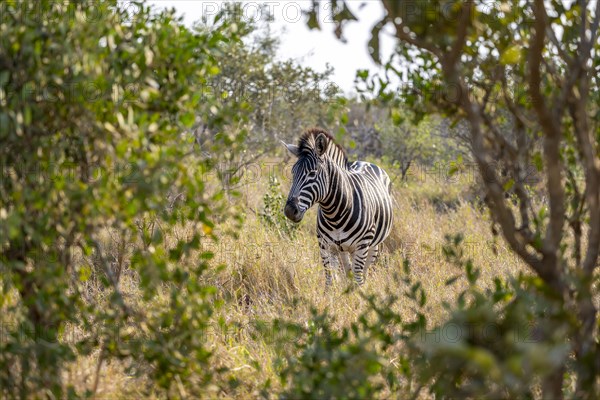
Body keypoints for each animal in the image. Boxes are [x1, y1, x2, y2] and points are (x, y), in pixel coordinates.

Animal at [282, 126, 394, 286]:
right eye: (293, 172)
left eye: (313, 173)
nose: (289, 211)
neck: (334, 214)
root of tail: (365, 161)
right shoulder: (325, 246)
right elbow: (330, 281)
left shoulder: (361, 247)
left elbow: (358, 279)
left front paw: (359, 293)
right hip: (342, 249)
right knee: (348, 271)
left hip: (373, 245)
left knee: (364, 271)